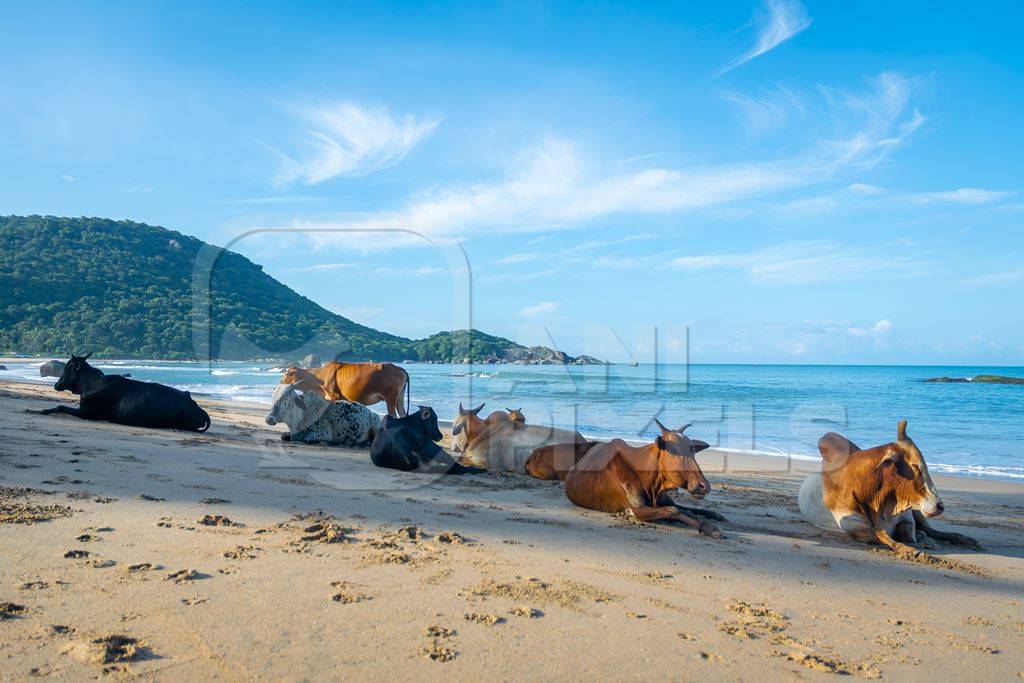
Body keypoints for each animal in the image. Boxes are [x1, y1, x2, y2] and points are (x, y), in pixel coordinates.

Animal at [36, 352, 209, 432]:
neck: (91, 384)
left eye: (66, 367)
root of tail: (199, 409)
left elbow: (60, 407)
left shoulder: (85, 413)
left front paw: (41, 410)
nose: (56, 384)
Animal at [565, 421, 724, 540]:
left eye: (693, 452)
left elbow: (687, 509)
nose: (704, 486)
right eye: (674, 452)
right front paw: (710, 528)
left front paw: (714, 519)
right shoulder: (637, 510)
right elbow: (674, 510)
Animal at [794, 417, 978, 557]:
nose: (939, 505)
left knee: (932, 530)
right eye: (916, 467)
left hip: (918, 512)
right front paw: (908, 550)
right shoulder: (849, 521)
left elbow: (909, 534)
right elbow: (880, 533)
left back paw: (961, 539)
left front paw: (918, 541)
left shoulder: (907, 516)